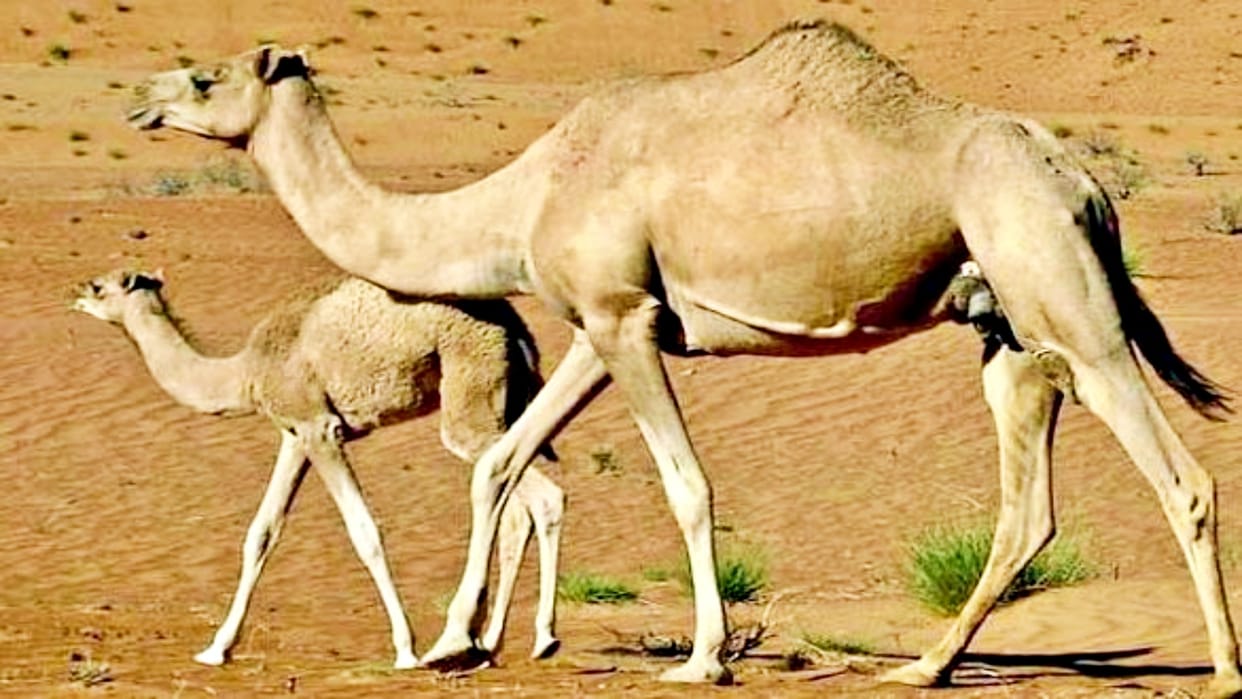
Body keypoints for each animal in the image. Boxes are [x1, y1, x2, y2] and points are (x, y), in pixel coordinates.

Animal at [72, 268, 565, 668]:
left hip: (469, 390)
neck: (244, 373)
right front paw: (216, 648)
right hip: (500, 404)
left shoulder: (321, 428)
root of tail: (516, 328)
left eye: (100, 287)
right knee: (515, 505)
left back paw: (539, 639)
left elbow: (364, 532)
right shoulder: (294, 434)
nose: (75, 294)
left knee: (538, 494)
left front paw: (405, 650)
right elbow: (262, 531)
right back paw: (492, 643)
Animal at [127, 21, 1242, 695]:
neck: (525, 194)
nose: (141, 101)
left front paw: (704, 657)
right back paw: (922, 666)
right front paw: (455, 640)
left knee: (1180, 477)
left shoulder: (626, 319)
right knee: (1027, 507)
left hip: (1065, 294)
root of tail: (1083, 180)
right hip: (1006, 328)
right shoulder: (595, 326)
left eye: (205, 76)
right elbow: (503, 463)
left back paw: (1226, 668)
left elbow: (685, 484)